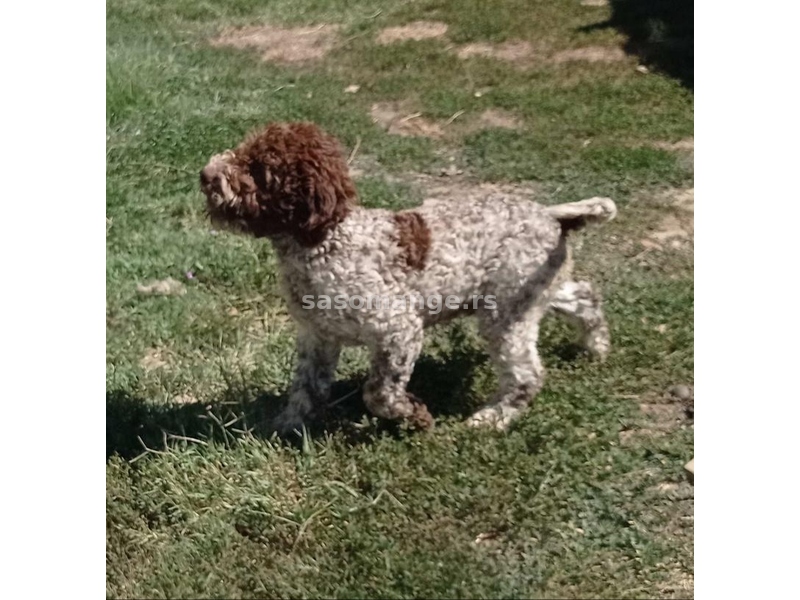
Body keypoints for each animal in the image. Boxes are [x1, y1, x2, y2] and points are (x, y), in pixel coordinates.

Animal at [202, 122, 620, 432]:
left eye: (259, 168)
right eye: (244, 149)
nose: (206, 174)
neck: (326, 241)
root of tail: (549, 214)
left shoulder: (398, 329)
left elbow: (378, 393)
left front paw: (414, 417)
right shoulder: (317, 337)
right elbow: (306, 389)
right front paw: (286, 428)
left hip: (506, 313)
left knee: (526, 375)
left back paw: (492, 418)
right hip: (532, 291)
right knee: (585, 296)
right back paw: (596, 348)